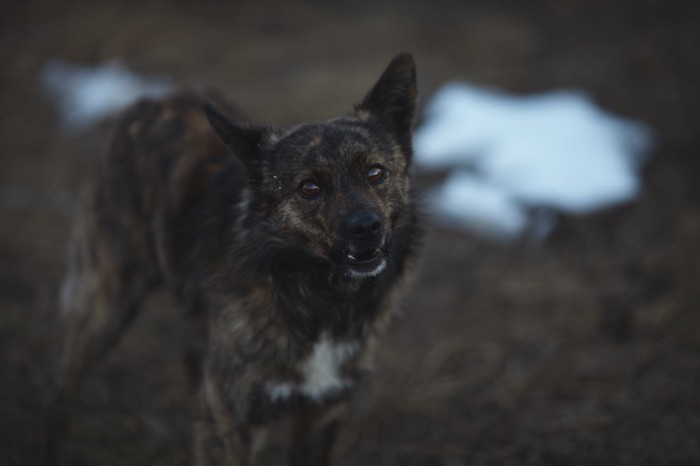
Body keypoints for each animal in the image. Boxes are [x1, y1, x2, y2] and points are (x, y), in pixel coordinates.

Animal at [52, 52, 422, 464]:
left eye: (375, 172)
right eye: (309, 187)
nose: (366, 227)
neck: (321, 299)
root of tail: (154, 100)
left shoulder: (322, 413)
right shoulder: (232, 424)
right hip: (104, 304)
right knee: (63, 386)